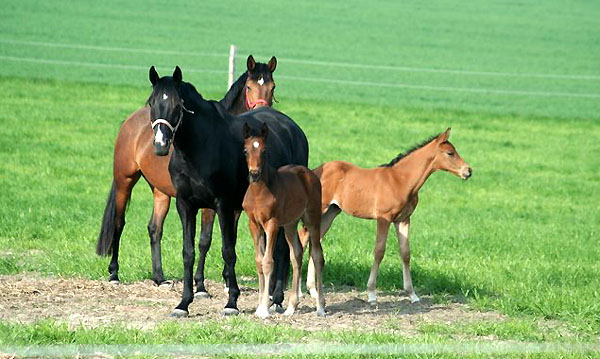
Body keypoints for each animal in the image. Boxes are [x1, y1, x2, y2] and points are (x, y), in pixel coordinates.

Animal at [96, 57, 282, 296]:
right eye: (249, 87)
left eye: (272, 86)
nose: (263, 110)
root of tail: (130, 121)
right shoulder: (208, 205)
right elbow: (205, 240)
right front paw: (200, 285)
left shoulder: (232, 205)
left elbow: (228, 238)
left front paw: (226, 280)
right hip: (124, 181)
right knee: (119, 223)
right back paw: (114, 274)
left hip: (161, 192)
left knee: (155, 229)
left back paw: (159, 278)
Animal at [143, 66, 308, 316]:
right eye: (152, 102)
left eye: (177, 105)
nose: (160, 144)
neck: (200, 148)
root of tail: (294, 128)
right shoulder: (185, 205)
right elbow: (188, 252)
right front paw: (183, 303)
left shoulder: (224, 206)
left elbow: (228, 250)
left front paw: (231, 302)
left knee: (281, 248)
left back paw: (277, 298)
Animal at [240, 123, 326, 318]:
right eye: (245, 150)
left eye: (264, 151)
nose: (254, 173)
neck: (259, 192)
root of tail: (309, 173)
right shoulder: (254, 225)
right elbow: (259, 261)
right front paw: (259, 308)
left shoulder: (272, 224)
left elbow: (268, 262)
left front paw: (264, 309)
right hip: (290, 224)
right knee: (297, 254)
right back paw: (291, 307)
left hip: (312, 219)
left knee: (317, 256)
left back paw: (320, 307)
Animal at [302, 128, 472, 306]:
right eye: (450, 153)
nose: (468, 171)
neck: (400, 181)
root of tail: (315, 171)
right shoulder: (384, 218)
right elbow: (379, 251)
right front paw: (371, 294)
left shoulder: (403, 219)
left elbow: (405, 253)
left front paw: (412, 294)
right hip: (320, 210)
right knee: (304, 237)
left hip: (332, 211)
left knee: (315, 241)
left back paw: (313, 291)